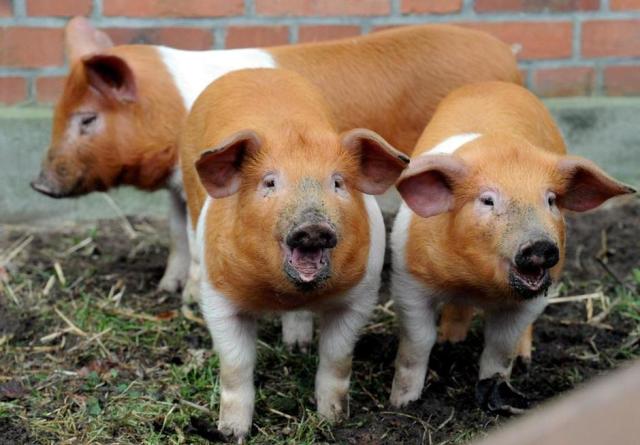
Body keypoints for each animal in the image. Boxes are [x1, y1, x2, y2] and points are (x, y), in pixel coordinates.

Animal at [31, 17, 521, 308]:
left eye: (87, 119)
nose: (39, 185)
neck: (173, 109)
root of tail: (508, 60)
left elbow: (192, 236)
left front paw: (190, 299)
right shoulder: (178, 186)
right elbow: (175, 233)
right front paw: (165, 288)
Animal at [180, 68, 408, 440]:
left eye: (338, 183)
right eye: (270, 182)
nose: (313, 226)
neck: (285, 293)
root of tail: (251, 70)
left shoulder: (361, 296)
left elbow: (337, 358)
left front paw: (333, 419)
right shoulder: (219, 298)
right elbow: (236, 366)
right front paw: (231, 432)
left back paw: (296, 345)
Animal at [389, 81, 635, 414]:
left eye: (551, 200)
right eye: (487, 200)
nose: (540, 245)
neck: (476, 283)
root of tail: (497, 84)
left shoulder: (534, 297)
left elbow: (500, 347)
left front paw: (496, 392)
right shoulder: (408, 280)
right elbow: (417, 343)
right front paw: (401, 403)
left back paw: (523, 359)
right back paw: (450, 341)